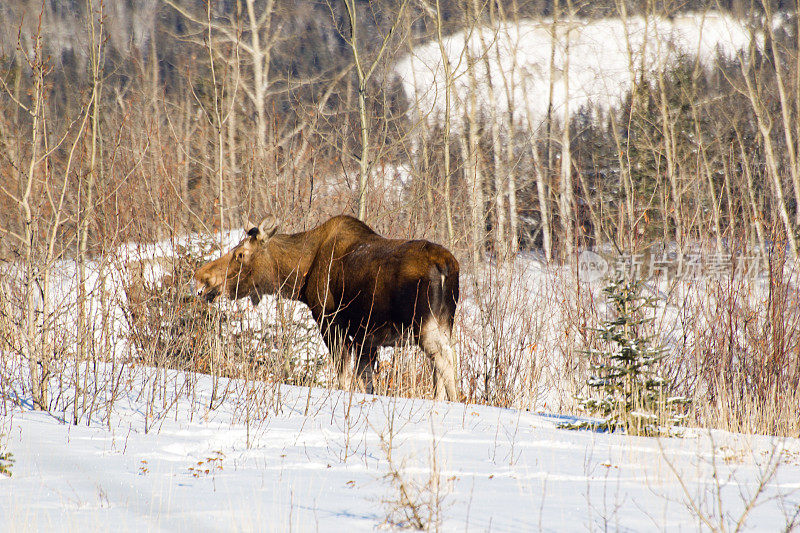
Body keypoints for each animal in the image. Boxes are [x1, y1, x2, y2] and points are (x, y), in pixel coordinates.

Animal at [194, 214, 460, 402]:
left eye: (240, 254)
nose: (201, 278)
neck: (300, 278)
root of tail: (447, 266)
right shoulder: (366, 337)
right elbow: (366, 380)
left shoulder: (330, 321)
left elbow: (343, 375)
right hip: (445, 321)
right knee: (439, 366)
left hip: (424, 325)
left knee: (446, 360)